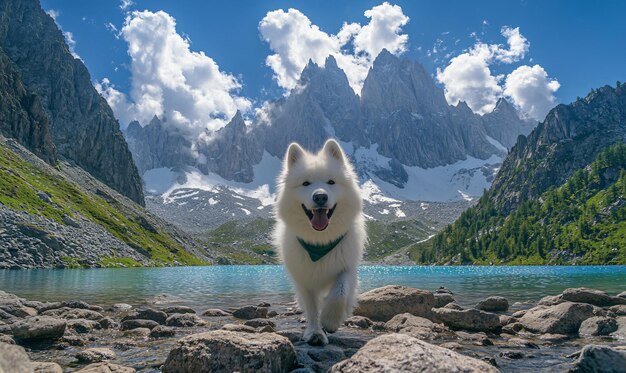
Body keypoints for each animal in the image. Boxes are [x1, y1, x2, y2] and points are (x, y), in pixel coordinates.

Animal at [272, 138, 366, 344]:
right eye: (305, 183)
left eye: (331, 182)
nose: (320, 196)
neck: (320, 241)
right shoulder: (304, 278)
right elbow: (312, 308)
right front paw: (315, 332)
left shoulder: (347, 267)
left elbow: (340, 292)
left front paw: (331, 320)